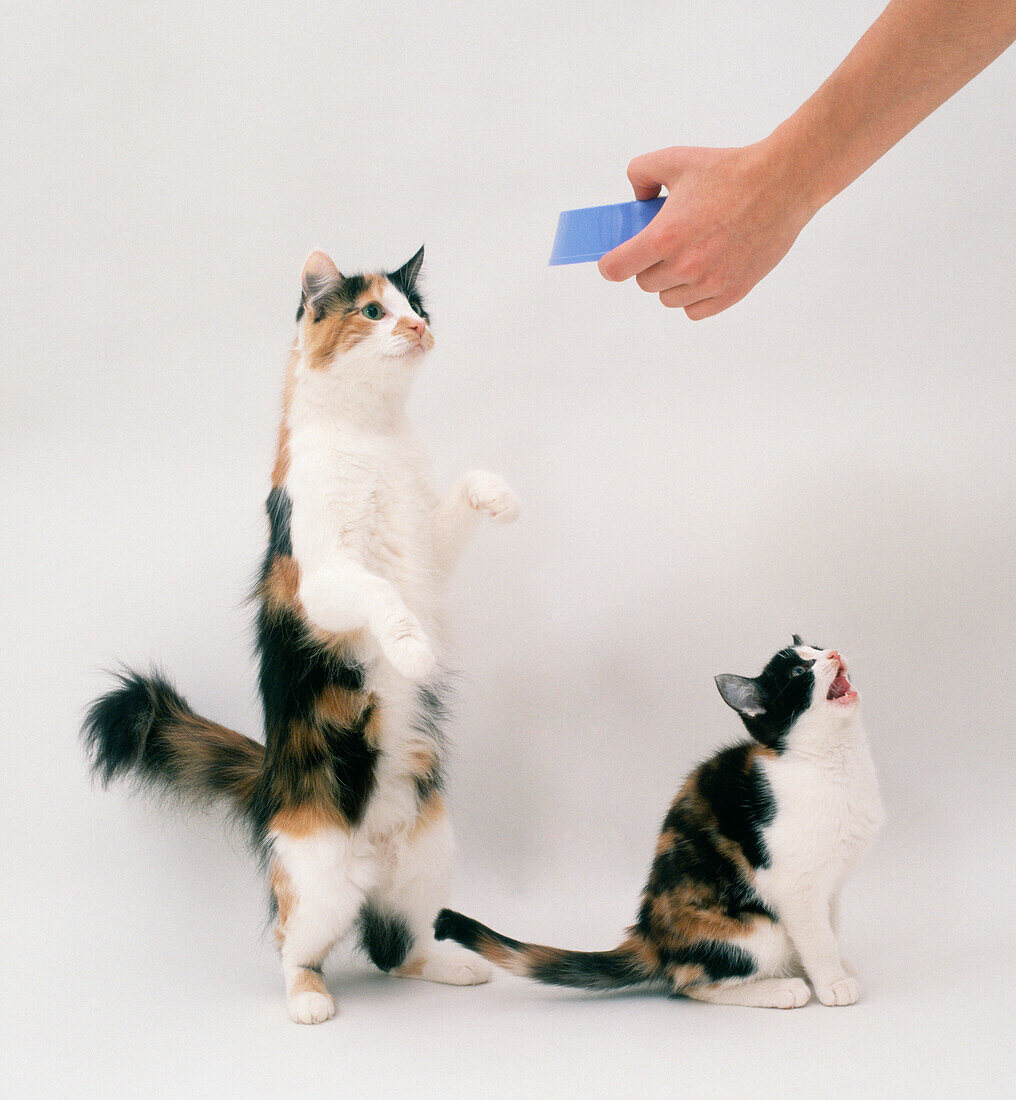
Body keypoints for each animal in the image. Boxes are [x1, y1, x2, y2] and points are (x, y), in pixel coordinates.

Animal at [83, 249, 518, 1020]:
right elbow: (381, 594)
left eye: (416, 308)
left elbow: (464, 490)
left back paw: (455, 966)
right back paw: (309, 1001)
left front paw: (500, 496)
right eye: (374, 312)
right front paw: (412, 649)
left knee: (399, 947)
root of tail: (270, 784)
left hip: (430, 858)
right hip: (317, 878)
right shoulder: (323, 582)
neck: (375, 436)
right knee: (296, 945)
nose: (416, 328)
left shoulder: (426, 553)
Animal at [437, 642, 879, 1007]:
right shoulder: (794, 885)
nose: (834, 653)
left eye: (818, 647)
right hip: (754, 932)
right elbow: (816, 936)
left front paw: (832, 967)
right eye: (799, 672)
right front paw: (832, 983)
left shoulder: (829, 883)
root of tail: (650, 937)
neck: (835, 761)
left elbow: (827, 928)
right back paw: (780, 989)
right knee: (688, 983)